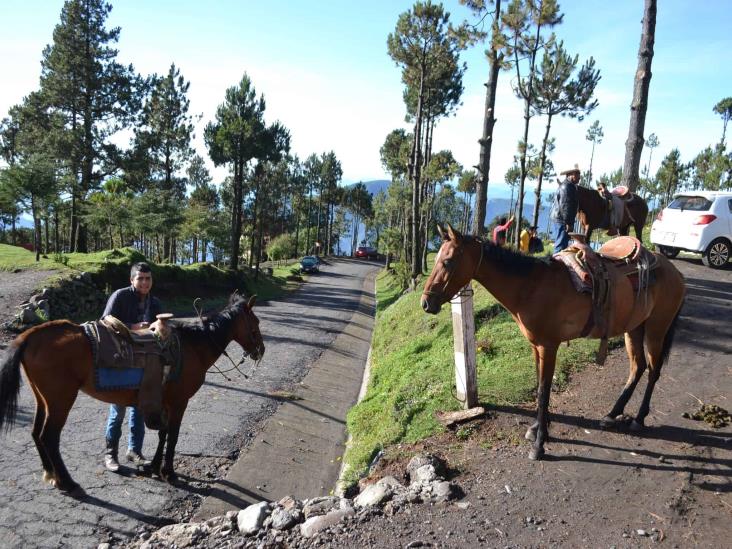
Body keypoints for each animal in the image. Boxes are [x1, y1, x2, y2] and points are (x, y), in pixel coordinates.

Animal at [0, 294, 264, 494]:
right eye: (256, 322)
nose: (260, 350)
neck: (192, 347)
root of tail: (31, 335)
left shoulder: (164, 401)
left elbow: (163, 434)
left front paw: (154, 467)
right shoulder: (179, 402)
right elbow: (173, 436)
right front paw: (169, 472)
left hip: (43, 399)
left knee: (36, 433)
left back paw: (51, 474)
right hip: (60, 400)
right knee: (49, 437)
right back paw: (68, 482)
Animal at [424, 225, 688, 460]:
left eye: (447, 262)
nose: (426, 303)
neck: (531, 287)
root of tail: (676, 273)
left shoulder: (549, 346)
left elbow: (543, 392)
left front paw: (540, 443)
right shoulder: (536, 346)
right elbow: (540, 386)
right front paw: (537, 429)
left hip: (656, 329)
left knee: (653, 370)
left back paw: (639, 418)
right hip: (633, 329)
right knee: (637, 367)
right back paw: (612, 414)